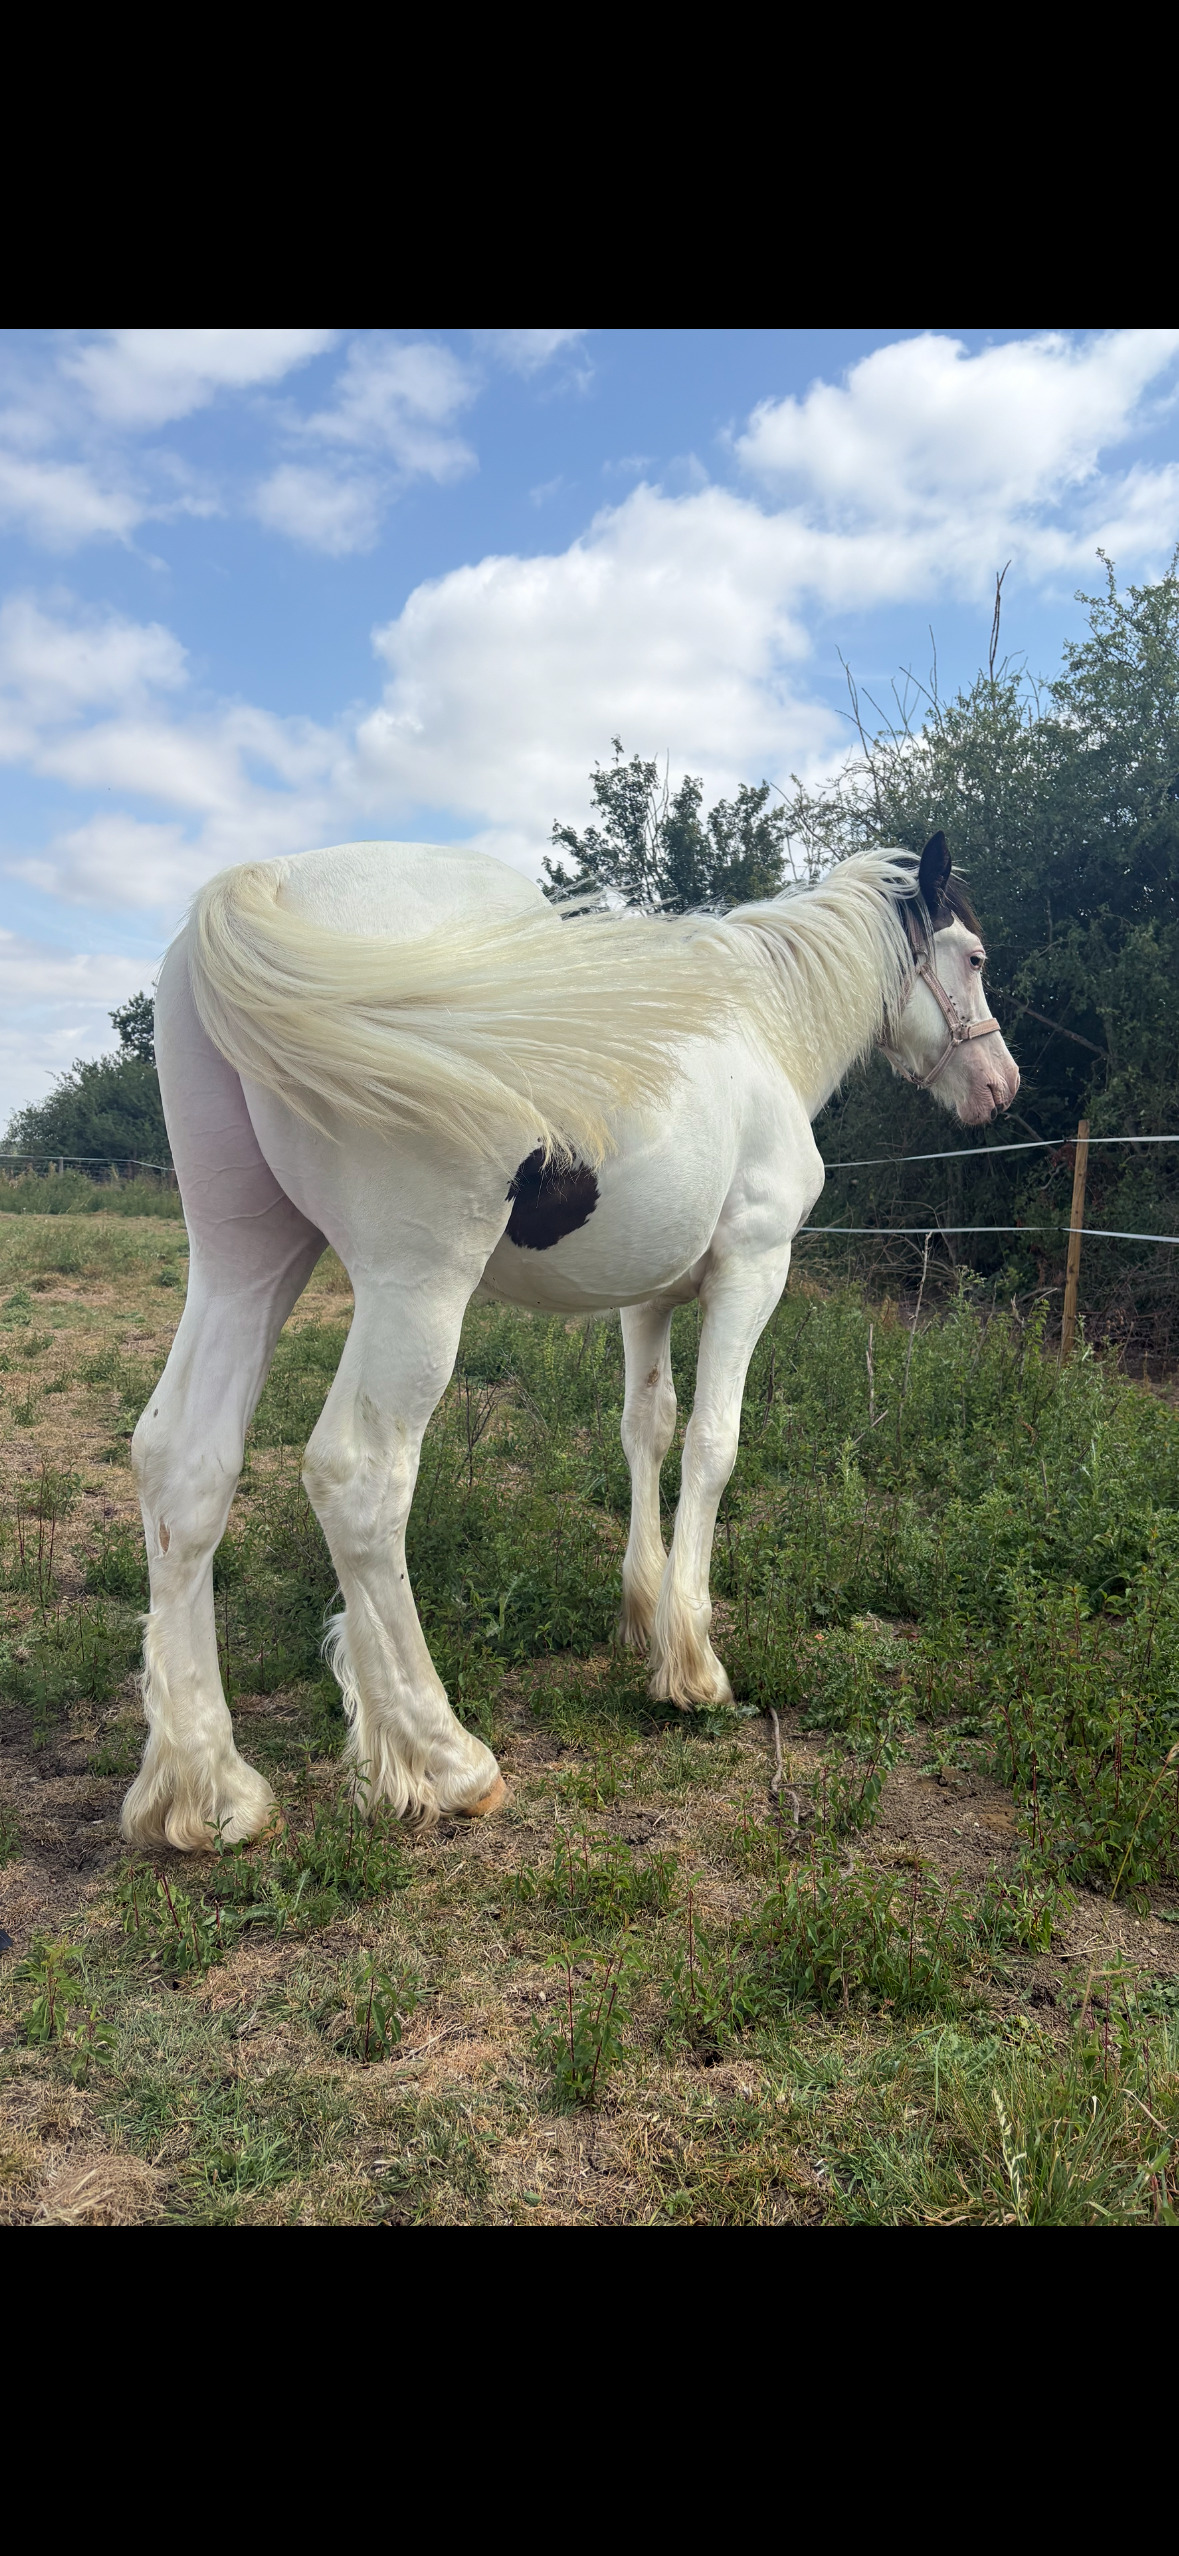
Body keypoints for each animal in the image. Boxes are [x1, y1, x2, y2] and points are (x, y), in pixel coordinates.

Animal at [121, 828, 1018, 1850]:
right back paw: (446, 1757)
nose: (999, 1085)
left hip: (244, 1259)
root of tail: (262, 884)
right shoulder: (752, 1268)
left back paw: (206, 1789)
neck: (758, 1030)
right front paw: (690, 1660)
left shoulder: (648, 1298)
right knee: (358, 1479)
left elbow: (647, 1429)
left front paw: (643, 1609)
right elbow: (712, 1444)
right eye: (973, 958)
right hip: (414, 1286)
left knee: (185, 1465)